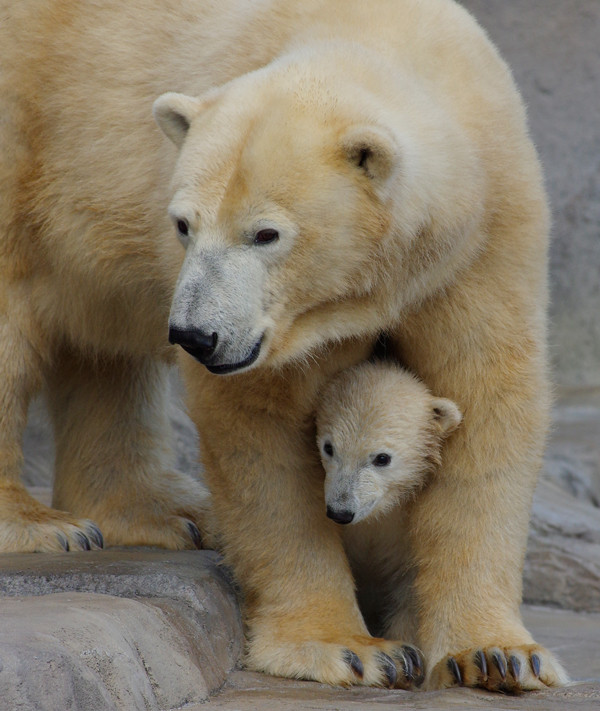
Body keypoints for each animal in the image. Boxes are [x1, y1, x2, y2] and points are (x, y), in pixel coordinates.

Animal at [1, 0, 568, 696]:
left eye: (266, 233)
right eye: (184, 224)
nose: (195, 335)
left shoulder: (486, 227)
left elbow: (488, 394)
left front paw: (498, 655)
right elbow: (260, 427)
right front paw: (350, 649)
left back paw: (161, 513)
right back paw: (45, 525)